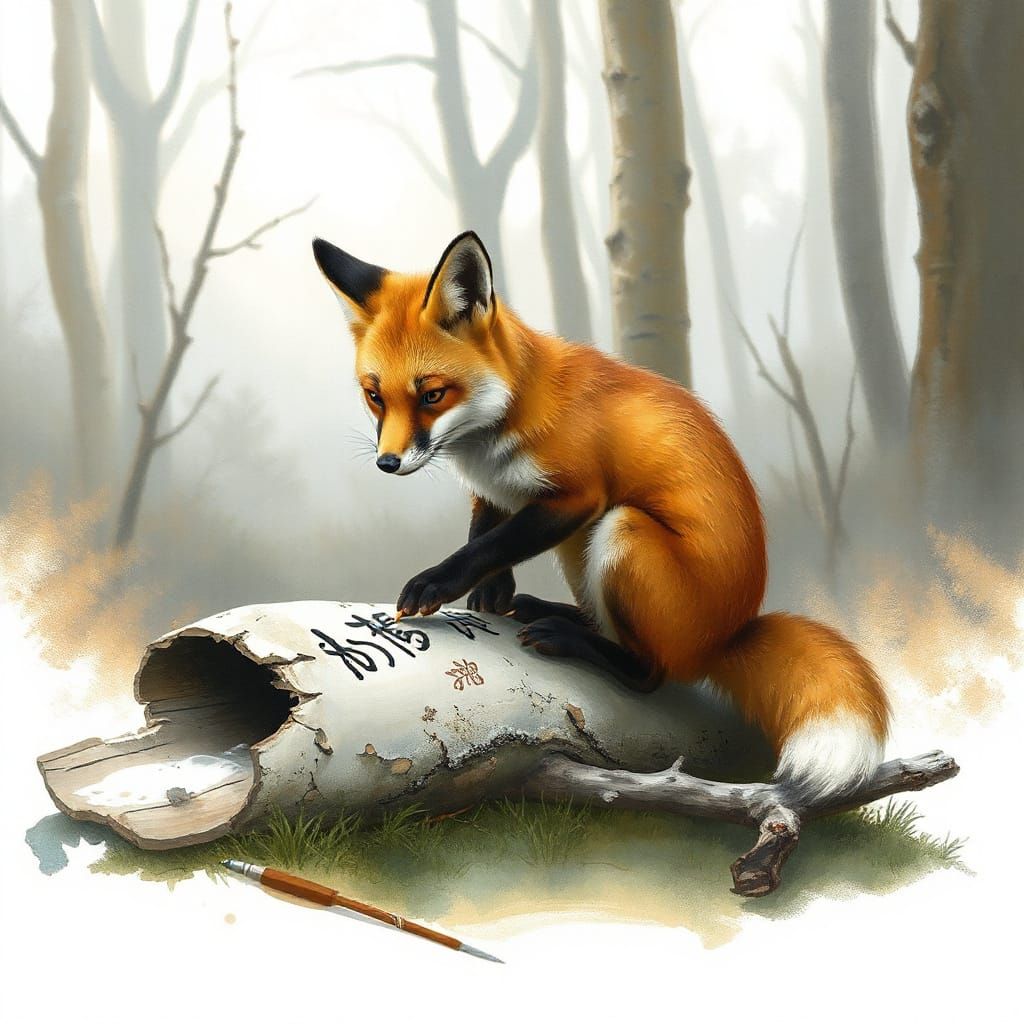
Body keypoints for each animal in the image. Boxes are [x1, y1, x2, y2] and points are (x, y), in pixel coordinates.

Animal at [312, 229, 890, 804]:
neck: (495, 429)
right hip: (584, 551)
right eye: (375, 396)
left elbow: (484, 547)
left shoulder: (576, 497)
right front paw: (490, 596)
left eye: (432, 394)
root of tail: (730, 634)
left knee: (651, 670)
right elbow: (485, 538)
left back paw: (572, 640)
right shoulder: (495, 493)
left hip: (619, 528)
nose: (388, 463)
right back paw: (551, 612)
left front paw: (436, 583)